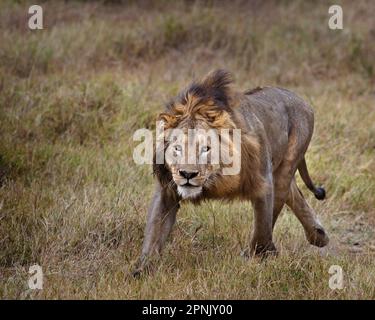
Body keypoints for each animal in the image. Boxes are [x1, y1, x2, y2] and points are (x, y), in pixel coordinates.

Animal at [134, 69, 330, 276]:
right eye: (177, 148)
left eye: (206, 149)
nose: (187, 174)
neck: (214, 179)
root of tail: (302, 100)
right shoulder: (167, 190)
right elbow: (154, 231)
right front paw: (142, 269)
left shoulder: (263, 182)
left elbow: (262, 229)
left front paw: (257, 256)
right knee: (294, 193)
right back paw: (319, 235)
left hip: (286, 165)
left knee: (282, 199)